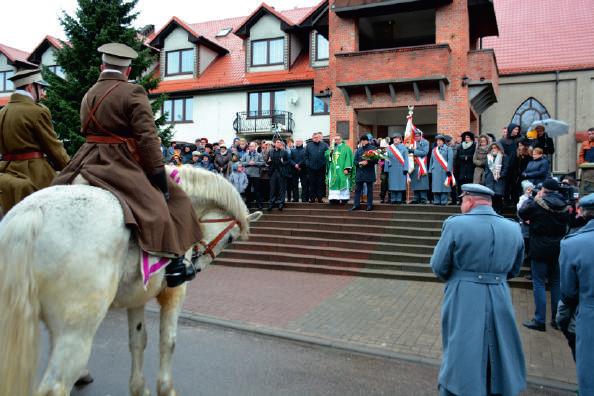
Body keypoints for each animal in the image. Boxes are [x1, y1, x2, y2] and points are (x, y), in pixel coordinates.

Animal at [0, 166, 262, 396]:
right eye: (230, 239)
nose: (195, 268)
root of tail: (31, 214)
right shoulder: (174, 293)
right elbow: (168, 341)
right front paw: (166, 389)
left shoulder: (137, 297)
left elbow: (138, 340)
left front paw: (139, 388)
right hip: (77, 330)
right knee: (54, 387)